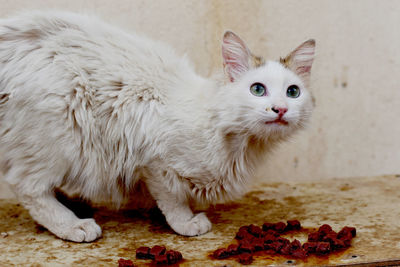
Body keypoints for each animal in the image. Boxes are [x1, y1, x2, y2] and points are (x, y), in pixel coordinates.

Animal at [0, 10, 316, 243]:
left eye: (293, 92)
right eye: (258, 89)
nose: (280, 109)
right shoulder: (156, 161)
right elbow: (173, 200)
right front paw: (186, 223)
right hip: (59, 134)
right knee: (27, 187)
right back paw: (73, 225)